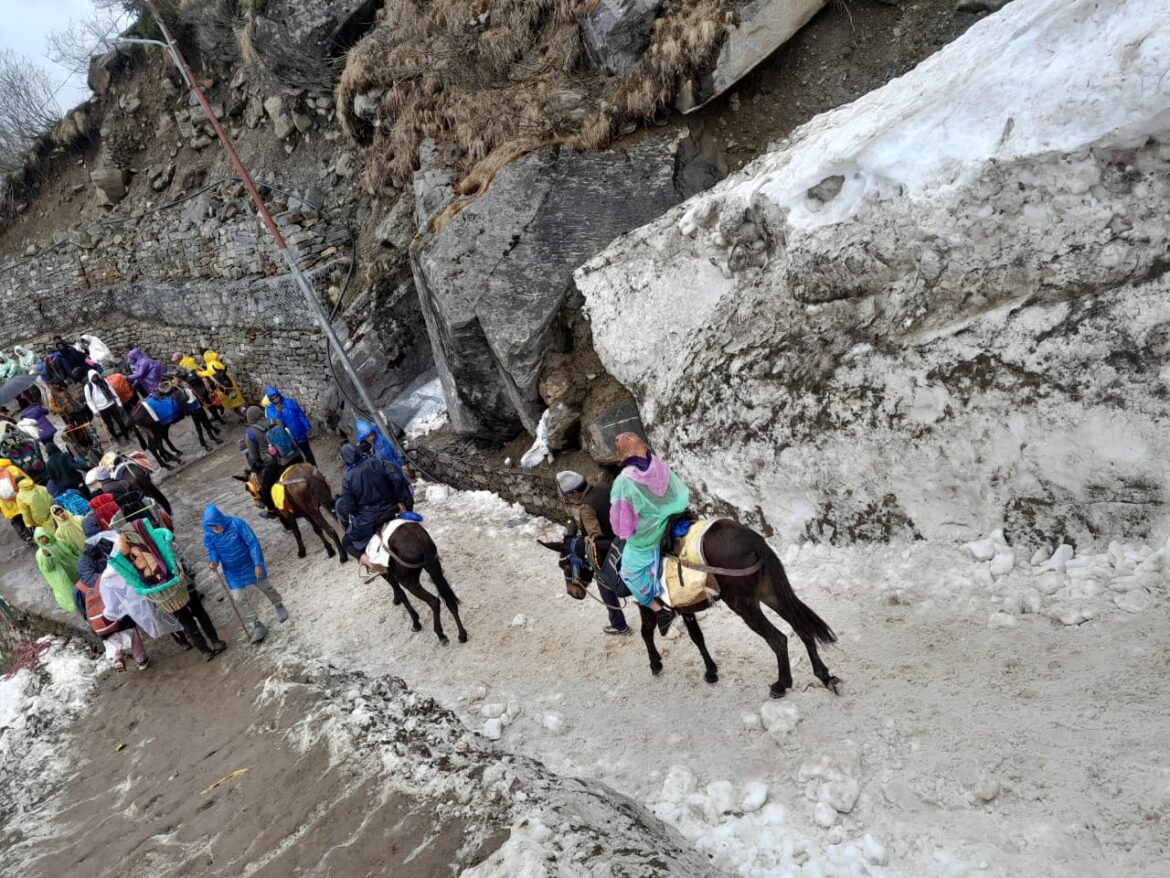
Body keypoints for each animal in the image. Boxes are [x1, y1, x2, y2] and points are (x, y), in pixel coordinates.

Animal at [538, 522, 842, 702]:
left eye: (563, 565)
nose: (573, 593)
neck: (618, 556)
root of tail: (755, 541)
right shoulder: (684, 606)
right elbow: (697, 637)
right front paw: (711, 671)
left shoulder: (644, 603)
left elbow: (647, 633)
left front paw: (656, 664)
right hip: (770, 594)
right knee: (801, 626)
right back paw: (824, 676)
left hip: (744, 604)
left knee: (778, 639)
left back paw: (782, 684)